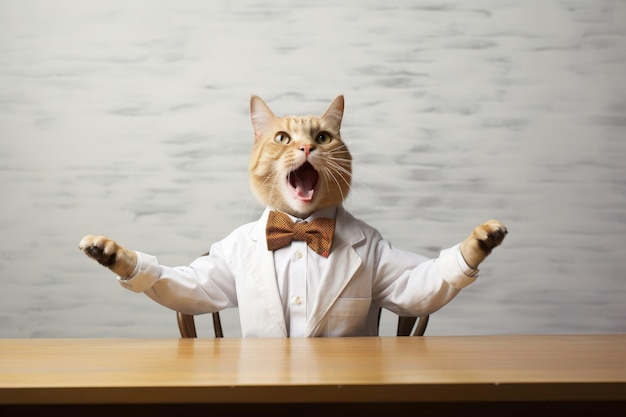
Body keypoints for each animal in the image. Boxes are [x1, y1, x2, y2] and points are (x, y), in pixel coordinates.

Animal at [78, 93, 508, 334]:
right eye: (283, 138)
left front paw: (478, 242)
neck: (301, 228)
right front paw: (112, 252)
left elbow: (422, 285)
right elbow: (182, 284)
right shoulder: (211, 274)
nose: (306, 148)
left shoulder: (390, 265)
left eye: (322, 137)